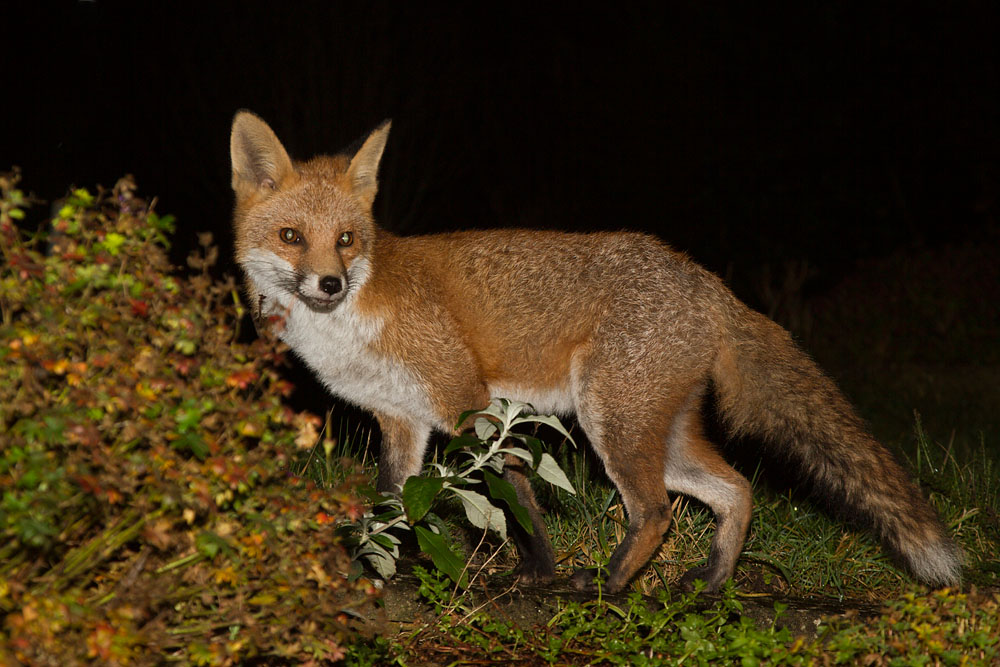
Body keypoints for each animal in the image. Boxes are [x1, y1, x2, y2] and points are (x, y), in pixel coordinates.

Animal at [229, 110, 962, 594]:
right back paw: (711, 584)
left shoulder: (466, 398)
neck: (350, 327)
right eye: (292, 237)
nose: (330, 283)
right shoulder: (402, 421)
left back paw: (607, 588)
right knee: (736, 488)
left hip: (612, 420)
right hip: (658, 432)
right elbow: (392, 506)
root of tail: (704, 278)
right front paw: (374, 567)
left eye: (347, 240)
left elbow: (514, 492)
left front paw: (540, 573)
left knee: (657, 512)